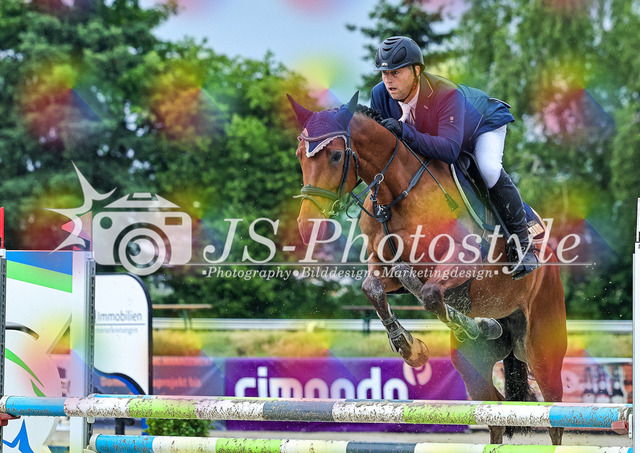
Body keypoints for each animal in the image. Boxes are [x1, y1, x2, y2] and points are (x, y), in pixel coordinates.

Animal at [287, 92, 568, 445]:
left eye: (337, 155)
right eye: (300, 155)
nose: (306, 227)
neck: (396, 195)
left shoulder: (462, 262)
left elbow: (432, 294)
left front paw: (474, 326)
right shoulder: (388, 270)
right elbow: (374, 289)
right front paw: (410, 348)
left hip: (542, 345)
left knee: (553, 413)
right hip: (473, 364)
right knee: (495, 412)